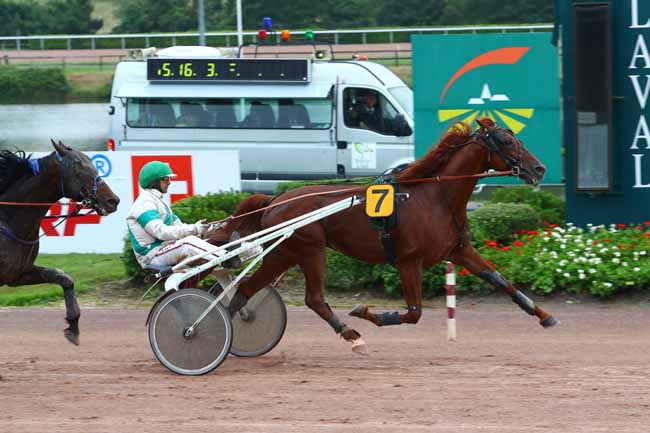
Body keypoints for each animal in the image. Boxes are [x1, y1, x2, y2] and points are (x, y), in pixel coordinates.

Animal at [0, 141, 120, 345]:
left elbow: (63, 277)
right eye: (78, 167)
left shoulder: (17, 274)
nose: (113, 200)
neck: (7, 219)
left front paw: (73, 326)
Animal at [209, 118, 558, 352]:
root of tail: (275, 199)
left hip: (285, 253)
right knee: (312, 298)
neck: (437, 197)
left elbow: (503, 281)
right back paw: (351, 334)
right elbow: (414, 313)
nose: (539, 169)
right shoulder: (408, 261)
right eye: (506, 141)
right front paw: (365, 312)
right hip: (308, 250)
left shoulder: (459, 250)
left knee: (246, 290)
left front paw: (544, 315)